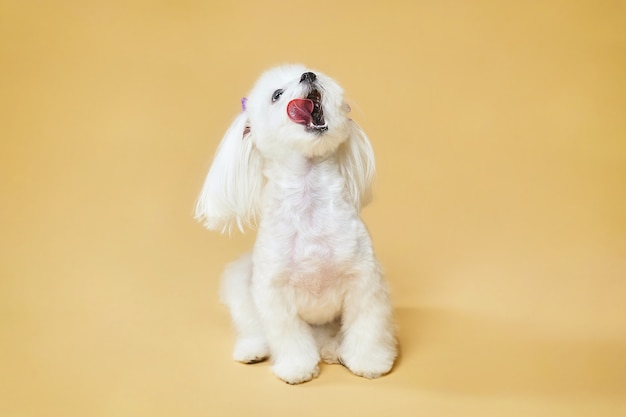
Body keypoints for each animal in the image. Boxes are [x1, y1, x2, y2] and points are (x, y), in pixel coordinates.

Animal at [195, 65, 394, 384]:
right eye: (277, 94)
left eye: (313, 73)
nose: (309, 75)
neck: (308, 200)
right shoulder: (275, 294)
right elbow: (288, 336)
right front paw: (296, 368)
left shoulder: (364, 282)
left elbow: (367, 326)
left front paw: (369, 362)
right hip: (241, 289)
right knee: (253, 327)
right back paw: (252, 350)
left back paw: (333, 350)